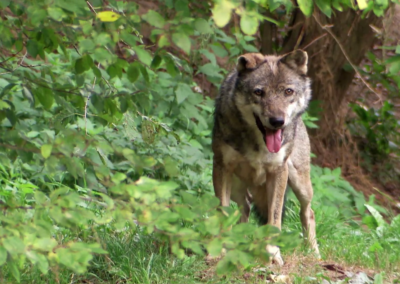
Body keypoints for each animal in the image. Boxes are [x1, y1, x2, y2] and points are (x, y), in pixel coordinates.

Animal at [212, 50, 322, 264]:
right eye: (258, 92)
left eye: (288, 91)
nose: (277, 121)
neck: (257, 142)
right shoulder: (221, 167)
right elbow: (223, 212)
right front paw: (219, 251)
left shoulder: (278, 172)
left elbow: (275, 219)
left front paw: (272, 254)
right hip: (237, 184)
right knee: (245, 206)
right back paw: (240, 240)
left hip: (301, 184)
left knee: (309, 212)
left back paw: (313, 252)